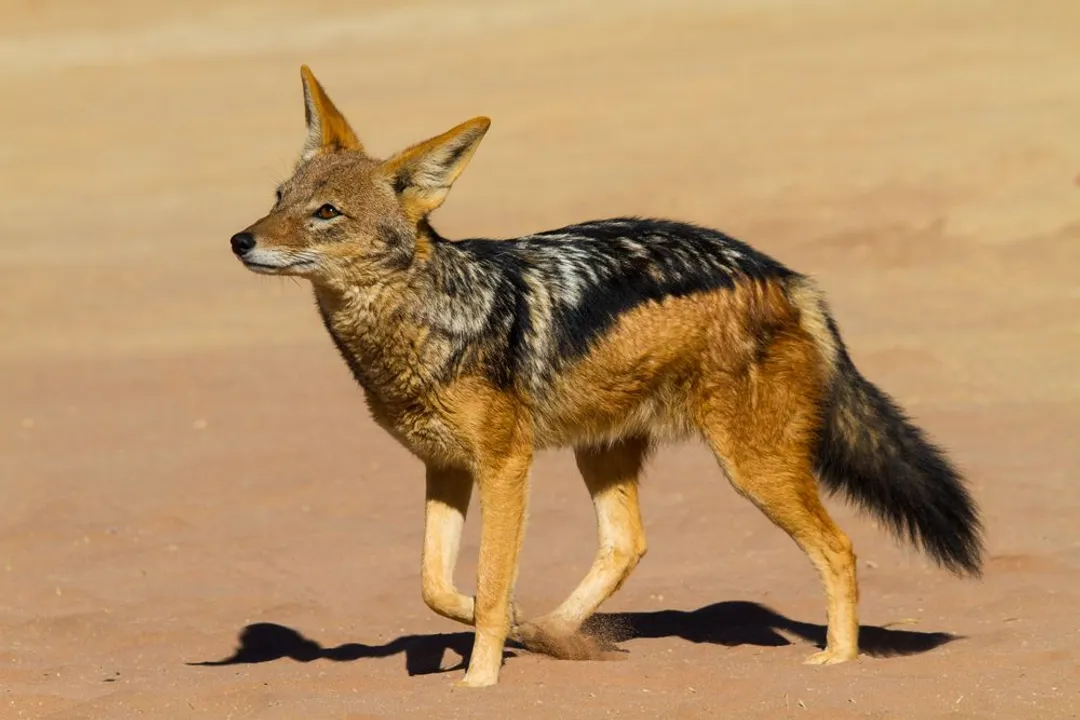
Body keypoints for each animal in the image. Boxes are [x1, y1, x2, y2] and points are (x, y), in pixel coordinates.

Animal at [229, 66, 983, 688]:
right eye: (279, 198)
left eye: (326, 213)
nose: (240, 239)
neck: (429, 322)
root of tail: (781, 272)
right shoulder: (443, 467)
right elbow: (436, 587)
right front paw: (516, 631)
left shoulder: (506, 465)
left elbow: (490, 585)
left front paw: (480, 680)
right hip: (607, 452)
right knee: (627, 546)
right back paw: (557, 633)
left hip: (751, 468)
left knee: (840, 548)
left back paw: (838, 658)